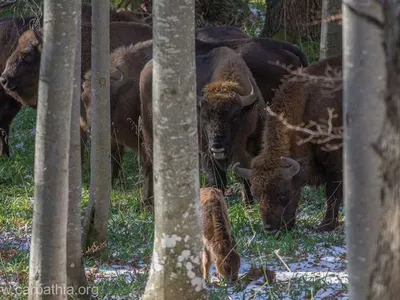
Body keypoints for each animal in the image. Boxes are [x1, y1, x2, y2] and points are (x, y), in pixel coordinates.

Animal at [234, 55, 344, 234]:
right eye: (256, 196)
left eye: (283, 193)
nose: (270, 229)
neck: (306, 105)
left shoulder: (334, 162)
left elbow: (332, 193)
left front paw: (326, 225)